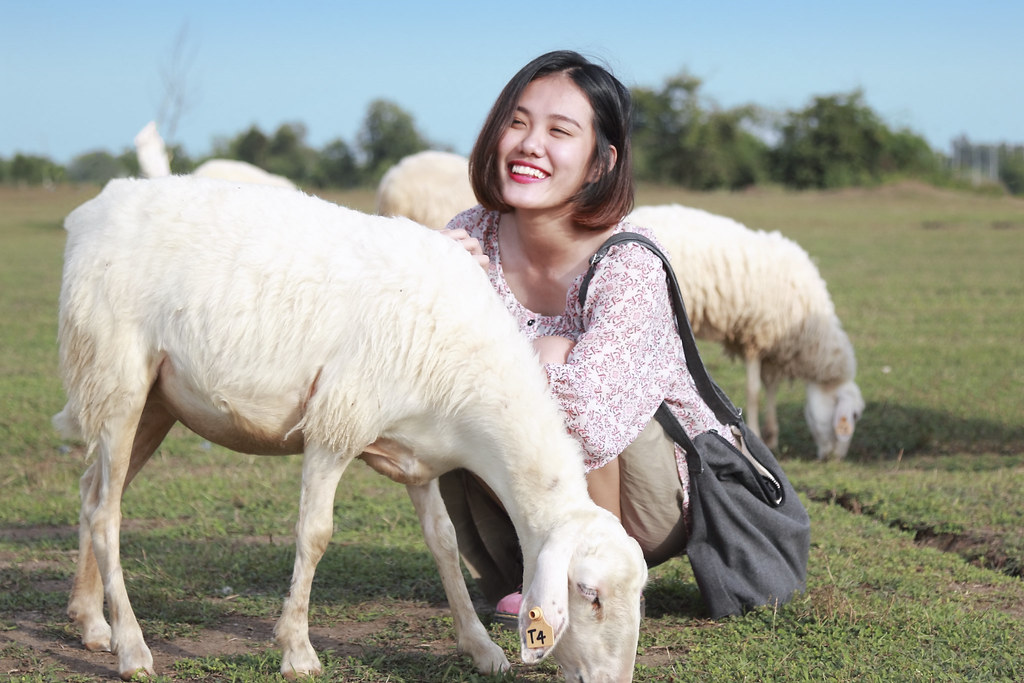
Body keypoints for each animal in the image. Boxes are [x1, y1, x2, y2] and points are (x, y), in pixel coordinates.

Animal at [56, 178, 643, 683]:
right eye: (589, 594)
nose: (616, 681)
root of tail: (94, 210)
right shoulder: (336, 424)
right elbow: (315, 535)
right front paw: (297, 650)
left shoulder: (420, 458)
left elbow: (444, 543)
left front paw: (480, 648)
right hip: (117, 376)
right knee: (106, 513)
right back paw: (132, 648)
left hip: (156, 400)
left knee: (90, 492)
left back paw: (92, 624)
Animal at [622, 202, 864, 458]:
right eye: (854, 416)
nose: (835, 459)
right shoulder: (755, 336)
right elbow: (753, 391)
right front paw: (756, 433)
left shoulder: (771, 343)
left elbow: (770, 386)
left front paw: (771, 435)